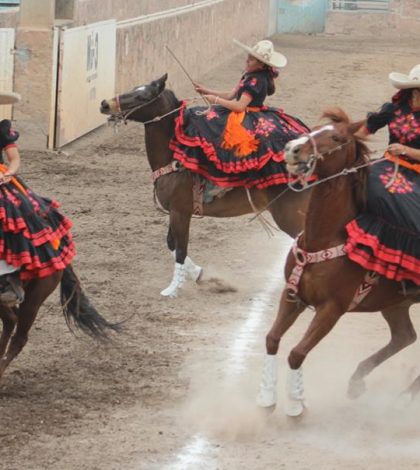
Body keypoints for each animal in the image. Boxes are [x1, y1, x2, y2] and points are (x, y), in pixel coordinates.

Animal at [101, 75, 312, 298]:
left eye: (142, 96)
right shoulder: (174, 212)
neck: (175, 157)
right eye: (134, 88)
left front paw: (172, 289)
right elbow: (172, 243)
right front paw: (199, 275)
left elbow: (181, 248)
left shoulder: (180, 212)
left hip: (289, 217)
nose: (105, 104)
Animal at [256, 108, 420, 416]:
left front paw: (296, 406)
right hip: (395, 304)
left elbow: (297, 353)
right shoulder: (292, 294)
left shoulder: (332, 308)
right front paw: (267, 399)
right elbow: (272, 339)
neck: (324, 239)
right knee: (405, 336)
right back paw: (357, 383)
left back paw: (406, 395)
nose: (292, 149)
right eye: (315, 129)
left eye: (336, 138)